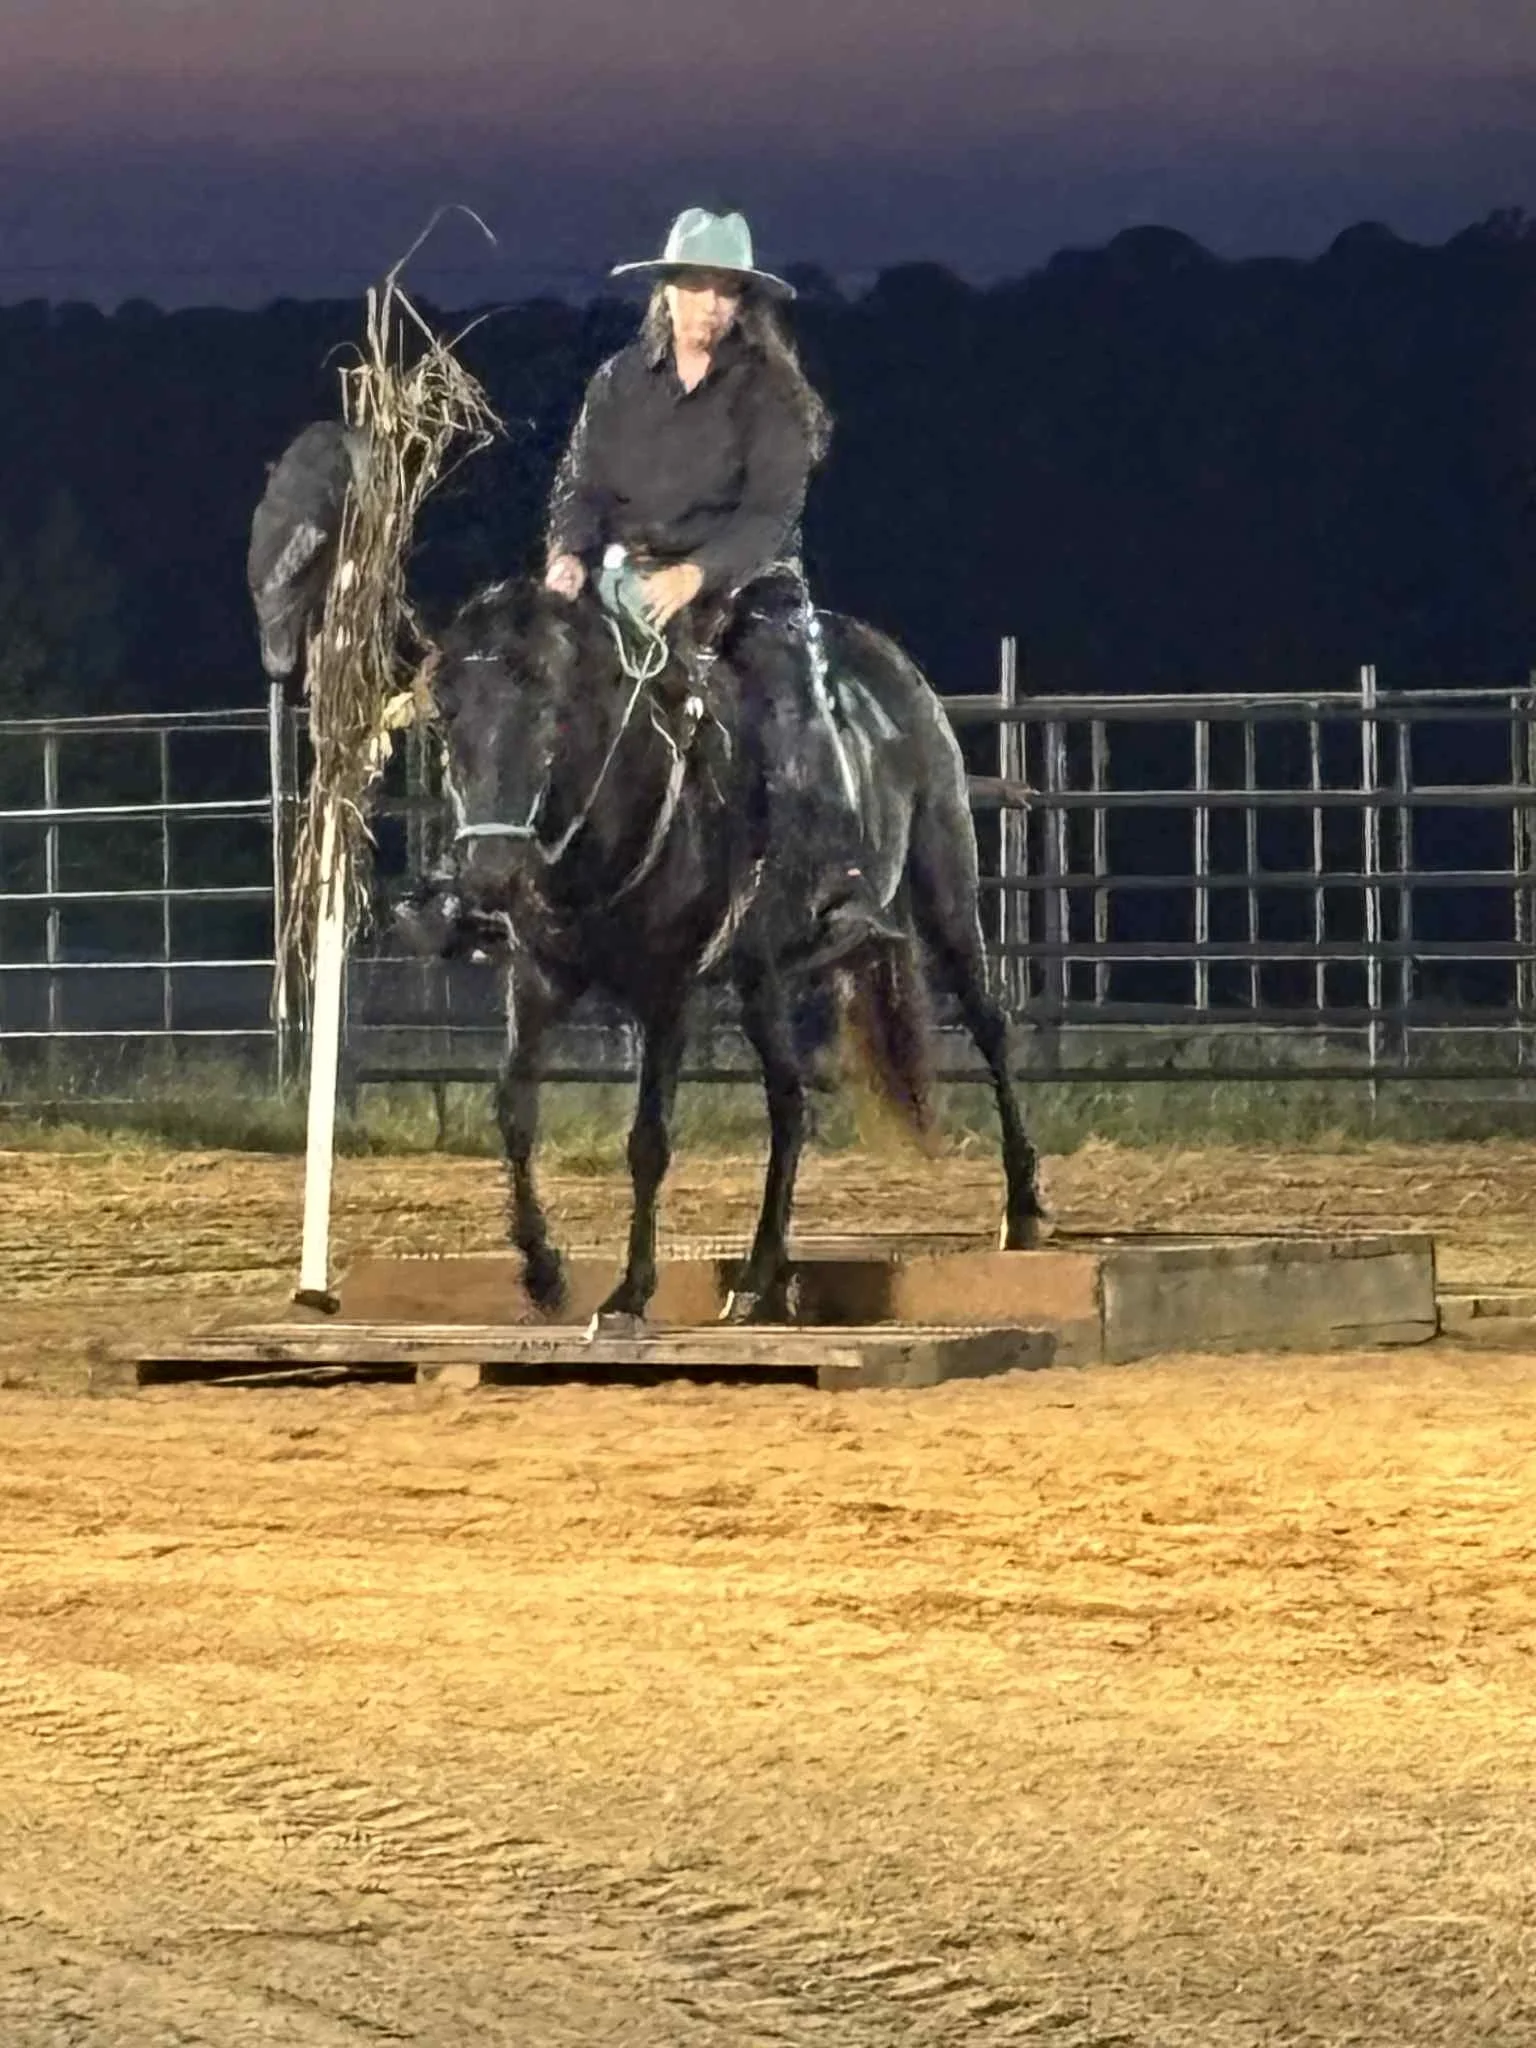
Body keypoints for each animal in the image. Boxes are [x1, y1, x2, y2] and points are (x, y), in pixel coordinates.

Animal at [396, 576, 1044, 1327]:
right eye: (444, 719)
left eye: (551, 717)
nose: (491, 875)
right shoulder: (538, 979)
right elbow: (514, 1111)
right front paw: (542, 1273)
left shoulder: (669, 991)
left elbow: (648, 1139)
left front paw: (630, 1289)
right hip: (762, 981)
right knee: (790, 1107)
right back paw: (762, 1275)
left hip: (945, 887)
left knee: (990, 1028)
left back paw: (1022, 1211)